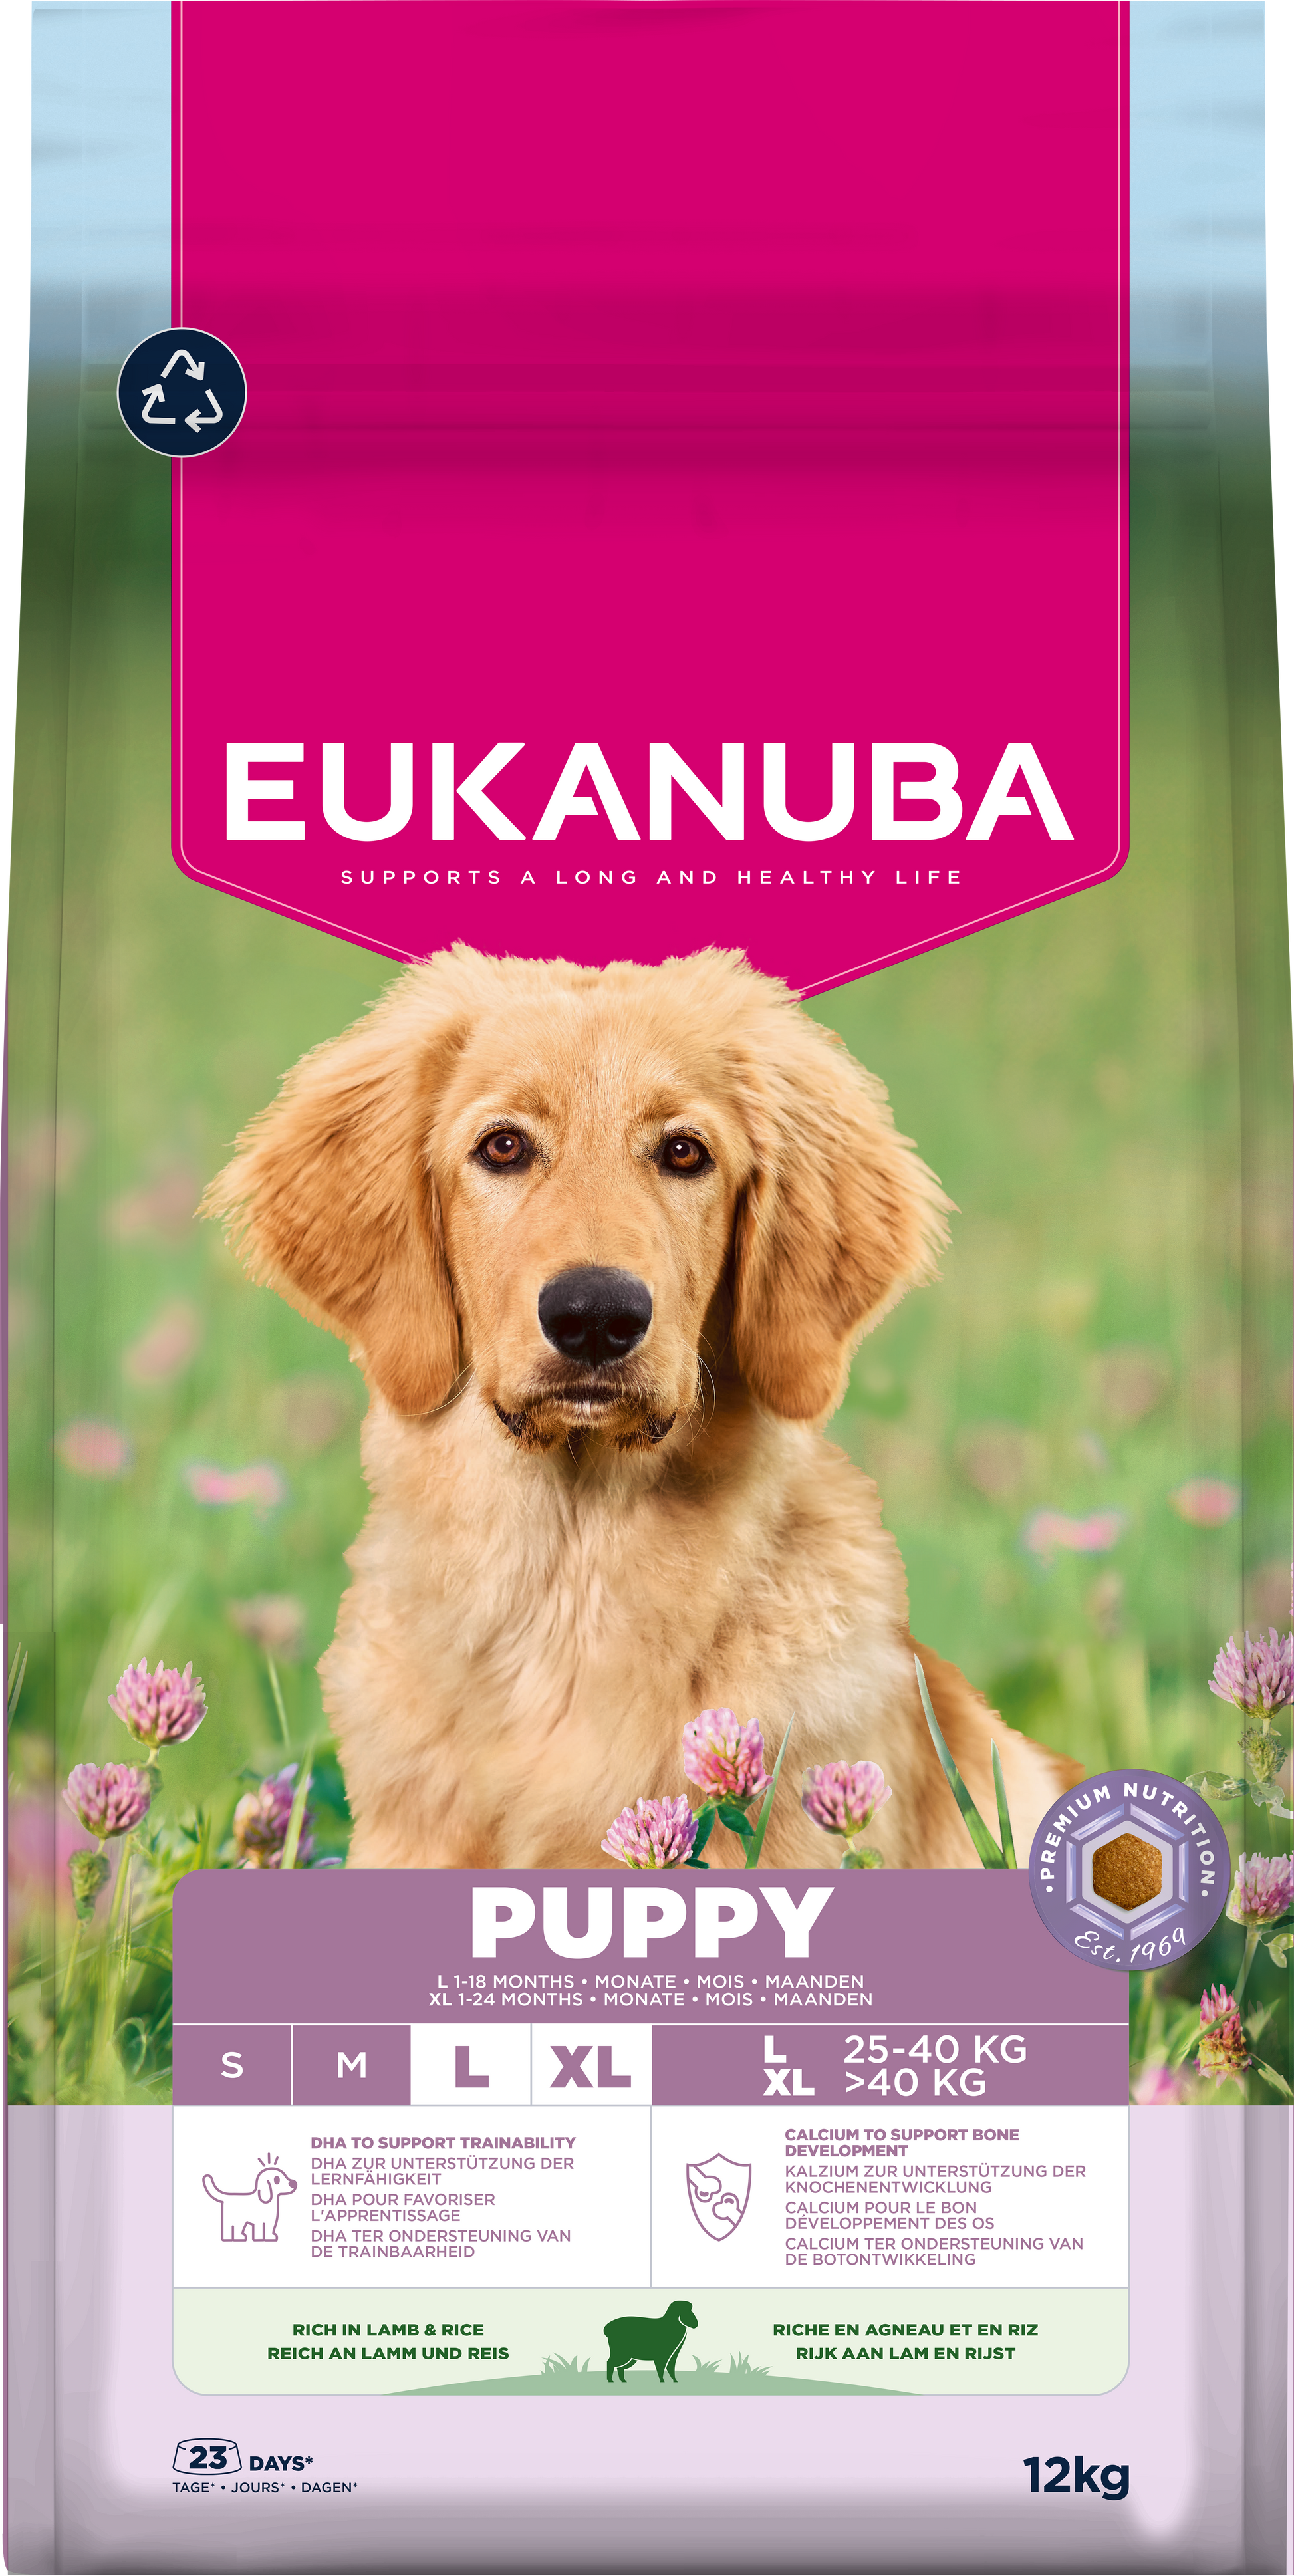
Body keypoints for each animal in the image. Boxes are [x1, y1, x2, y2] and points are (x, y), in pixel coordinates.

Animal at [603, 2300, 699, 2384]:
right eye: (686, 2312)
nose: (696, 2324)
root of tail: (607, 2329)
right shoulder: (662, 2355)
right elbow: (661, 2368)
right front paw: (662, 2381)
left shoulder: (673, 2354)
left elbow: (671, 2367)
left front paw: (674, 2380)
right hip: (621, 2353)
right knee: (610, 2362)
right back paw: (610, 2380)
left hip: (630, 2358)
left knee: (620, 2367)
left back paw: (623, 2380)